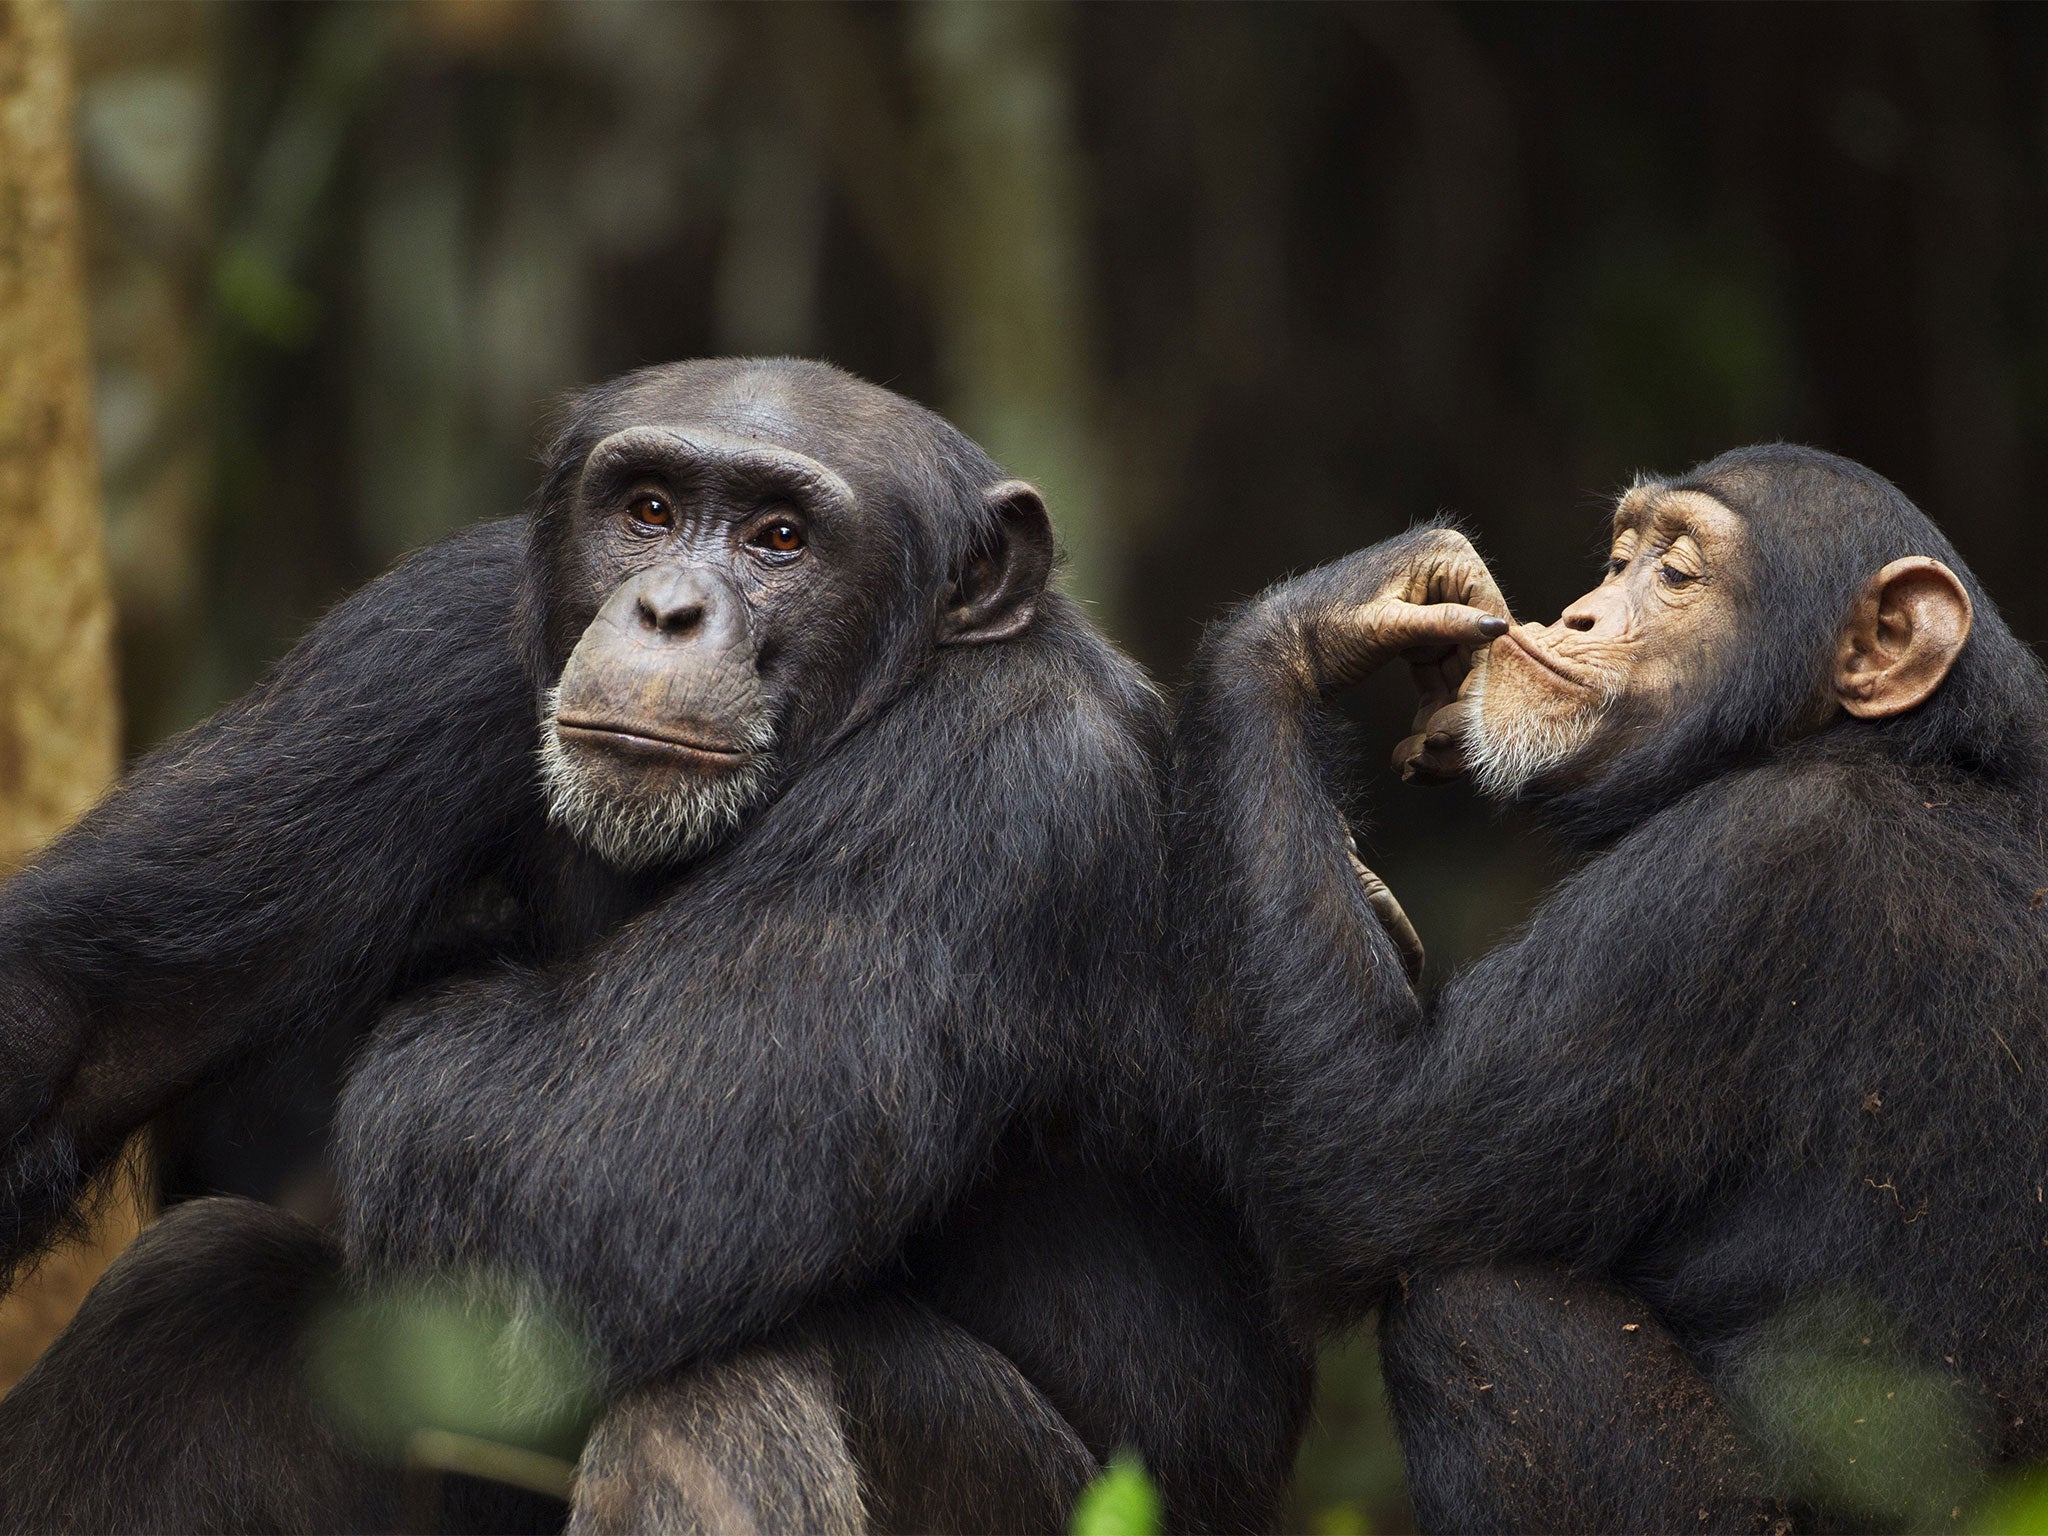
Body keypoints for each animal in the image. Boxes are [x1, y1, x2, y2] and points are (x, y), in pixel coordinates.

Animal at [0, 364, 1310, 1536]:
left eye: (781, 539)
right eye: (647, 511)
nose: (669, 609)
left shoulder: (998, 782)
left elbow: (583, 1166)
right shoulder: (425, 633)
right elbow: (87, 1010)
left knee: (722, 1380)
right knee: (201, 1285)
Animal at [1171, 442, 2048, 1531]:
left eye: (1674, 572)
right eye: (1621, 556)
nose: (1582, 612)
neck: (1905, 746)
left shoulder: (1740, 874)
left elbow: (1366, 1158)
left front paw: (1324, 616)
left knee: (1477, 1311)